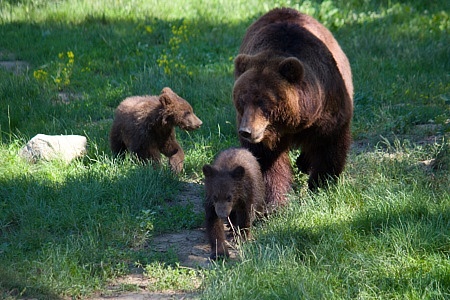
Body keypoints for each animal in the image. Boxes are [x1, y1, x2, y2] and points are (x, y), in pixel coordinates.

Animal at [234, 8, 354, 207]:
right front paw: (276, 201)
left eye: (263, 102)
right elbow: (268, 163)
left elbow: (329, 146)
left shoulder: (326, 108)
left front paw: (321, 186)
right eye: (242, 100)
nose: (246, 131)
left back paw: (303, 163)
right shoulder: (265, 137)